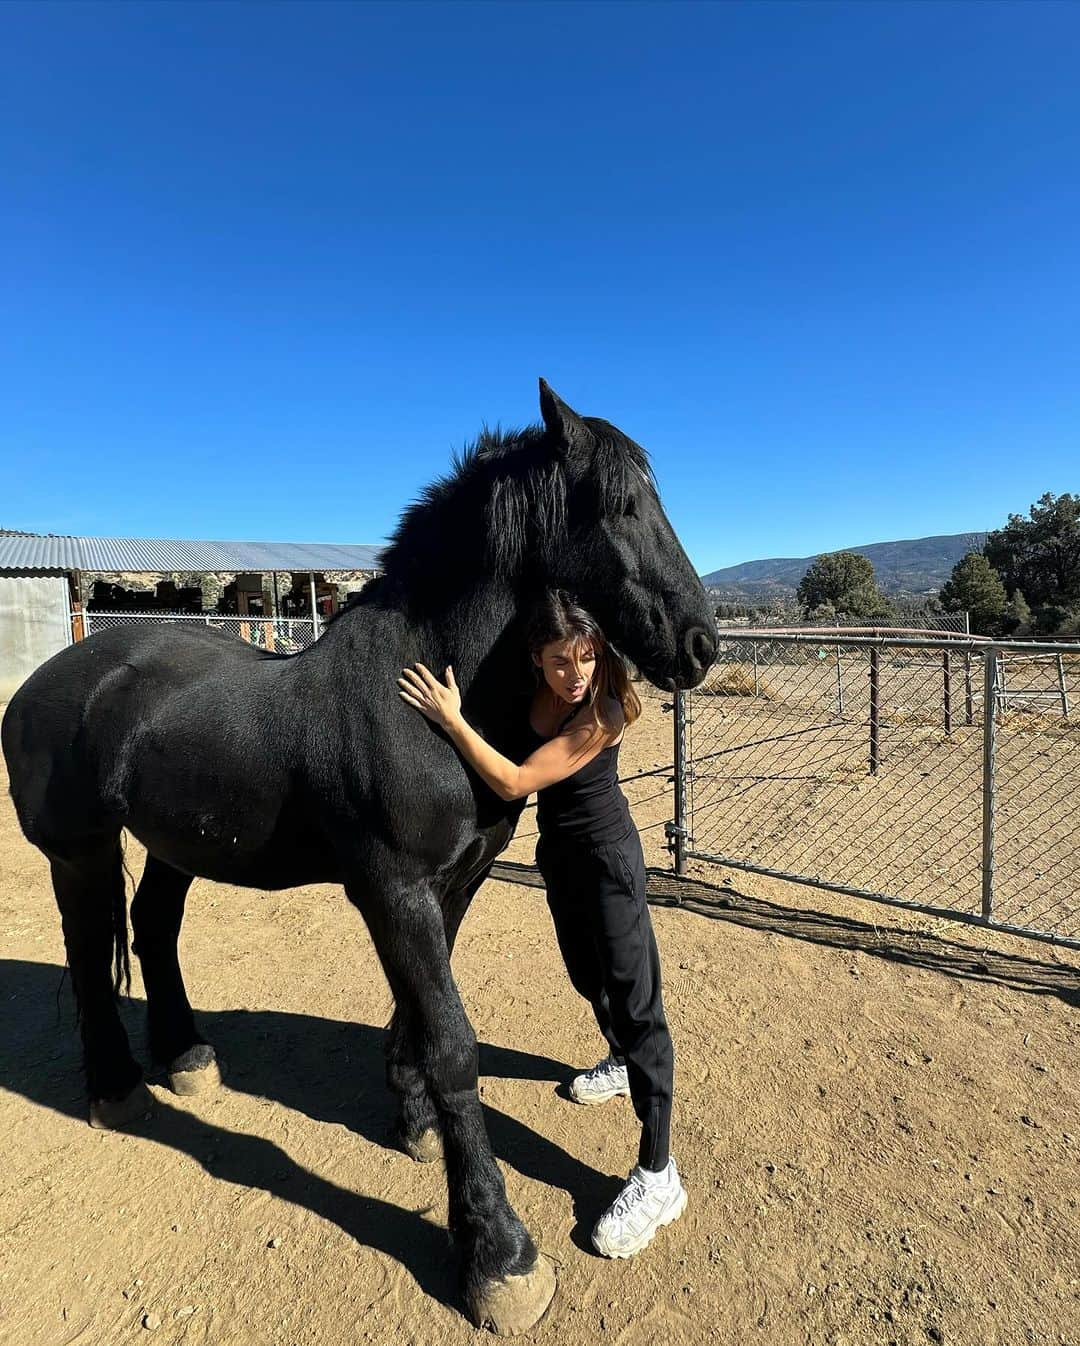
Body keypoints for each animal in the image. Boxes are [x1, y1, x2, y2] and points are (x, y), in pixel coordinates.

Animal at [6, 382, 716, 1335]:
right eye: (621, 506)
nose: (702, 644)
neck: (423, 694)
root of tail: (46, 681)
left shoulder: (454, 882)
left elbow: (422, 1017)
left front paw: (412, 1120)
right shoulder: (393, 891)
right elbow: (453, 1043)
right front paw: (497, 1255)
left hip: (173, 844)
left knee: (153, 928)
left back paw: (186, 1058)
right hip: (79, 852)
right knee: (89, 957)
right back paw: (118, 1087)